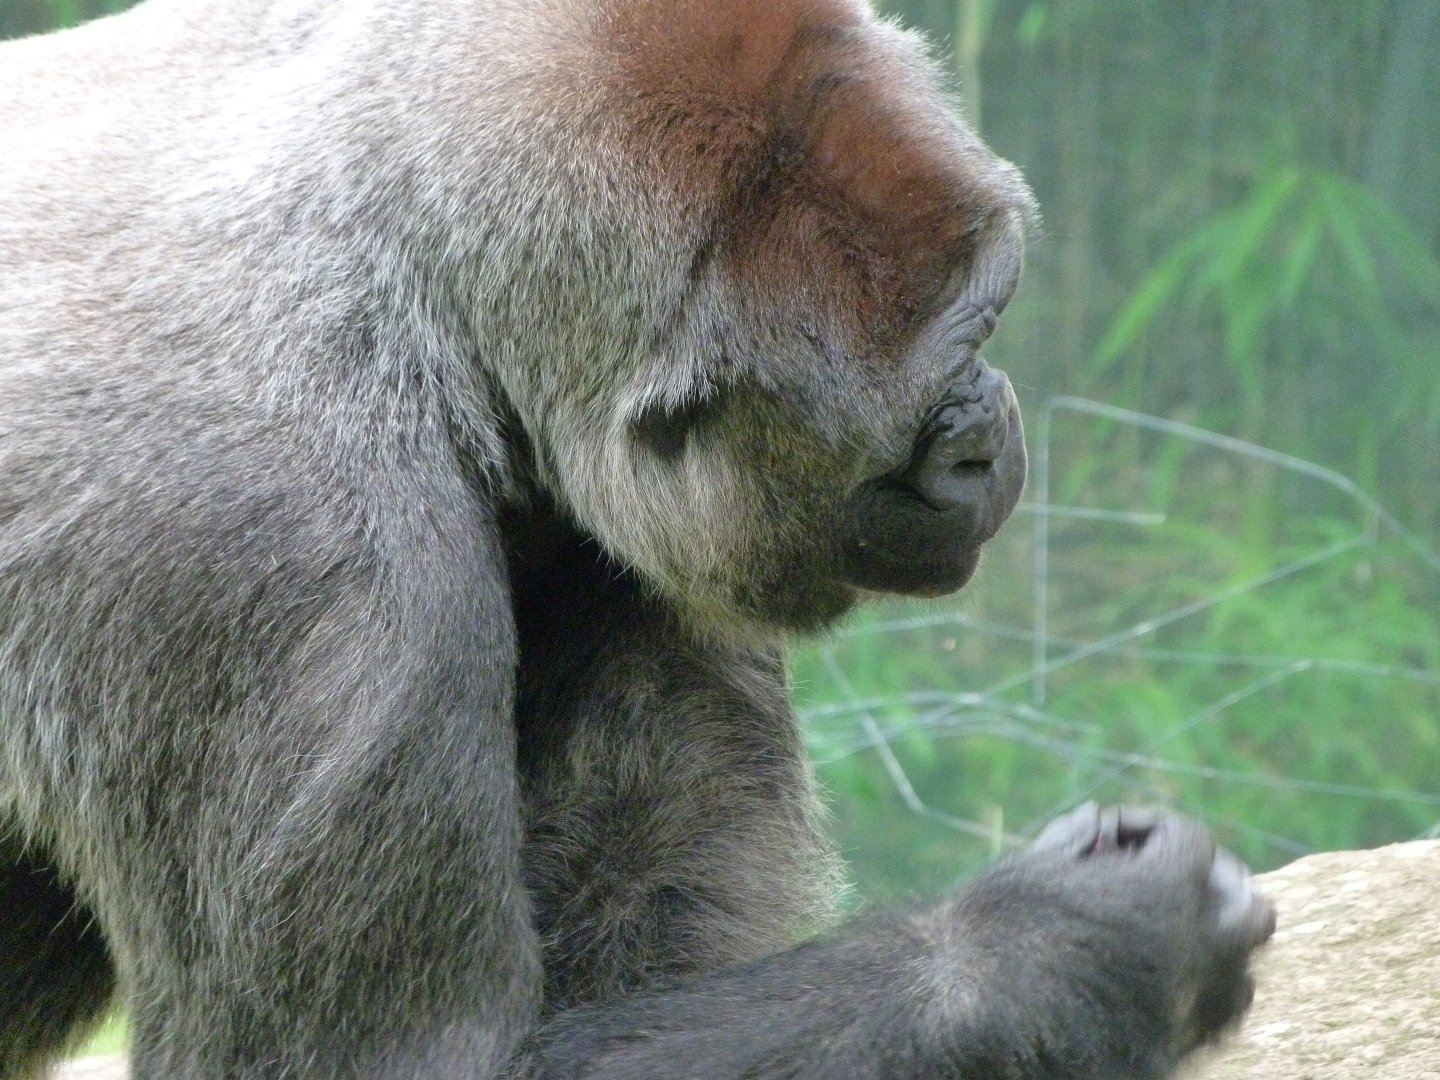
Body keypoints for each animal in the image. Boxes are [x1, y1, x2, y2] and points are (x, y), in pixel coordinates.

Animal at [0, 0, 1274, 1077]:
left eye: (992, 322)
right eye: (920, 422)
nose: (983, 441)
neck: (410, 273)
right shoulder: (277, 562)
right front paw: (1061, 947)